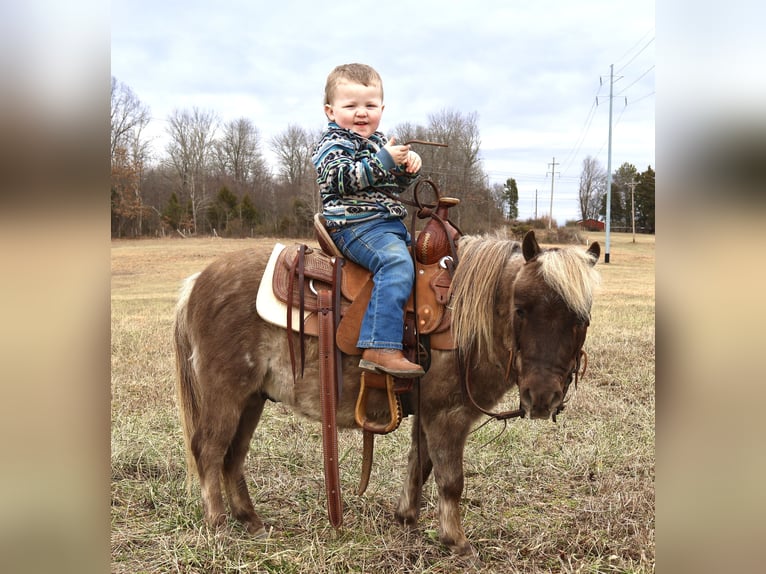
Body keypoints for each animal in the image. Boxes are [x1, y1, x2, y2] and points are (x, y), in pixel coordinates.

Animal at [174, 232, 600, 556]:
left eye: (581, 319)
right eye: (521, 308)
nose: (541, 397)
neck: (464, 318)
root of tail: (197, 282)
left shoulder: (428, 414)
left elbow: (419, 464)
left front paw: (407, 519)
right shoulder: (448, 415)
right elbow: (450, 479)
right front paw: (457, 542)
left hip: (252, 399)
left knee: (233, 456)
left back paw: (251, 521)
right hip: (226, 393)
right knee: (209, 451)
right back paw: (217, 525)